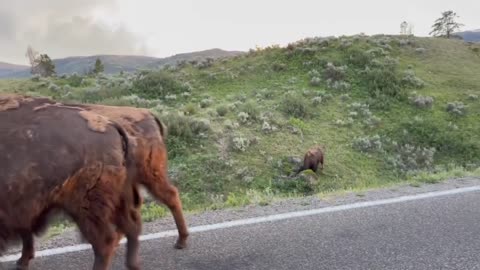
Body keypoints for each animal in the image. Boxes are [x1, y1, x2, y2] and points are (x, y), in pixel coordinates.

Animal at [0, 94, 142, 268]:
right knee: (131, 225)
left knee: (105, 241)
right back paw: (133, 264)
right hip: (117, 198)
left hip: (85, 207)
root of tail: (110, 124)